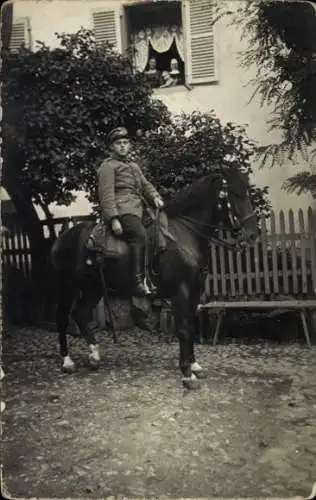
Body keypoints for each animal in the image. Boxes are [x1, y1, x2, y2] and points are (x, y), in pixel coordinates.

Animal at [51, 168, 256, 390]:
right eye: (234, 194)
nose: (252, 234)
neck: (185, 235)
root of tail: (65, 235)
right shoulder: (180, 291)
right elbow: (183, 329)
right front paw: (187, 374)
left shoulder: (195, 290)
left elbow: (191, 326)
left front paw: (194, 365)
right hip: (67, 285)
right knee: (63, 318)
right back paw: (67, 361)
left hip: (93, 287)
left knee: (80, 313)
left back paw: (94, 356)